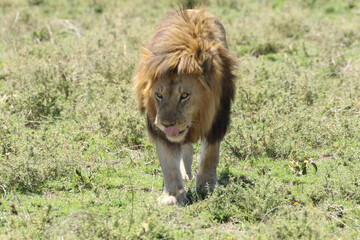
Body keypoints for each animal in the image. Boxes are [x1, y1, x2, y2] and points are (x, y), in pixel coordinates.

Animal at [134, 6, 238, 204]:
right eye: (159, 95)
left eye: (184, 96)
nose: (167, 124)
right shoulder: (159, 130)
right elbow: (168, 163)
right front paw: (173, 196)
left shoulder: (217, 120)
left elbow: (210, 156)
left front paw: (207, 188)